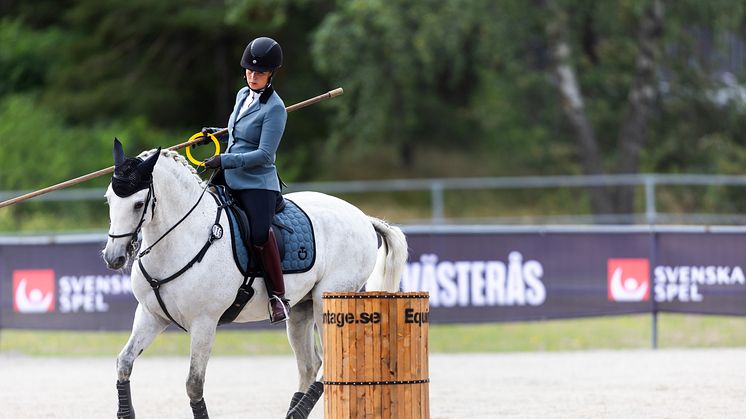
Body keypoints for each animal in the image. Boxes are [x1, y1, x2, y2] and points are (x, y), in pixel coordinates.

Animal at [101, 142, 406, 419]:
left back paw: (296, 413)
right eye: (108, 199)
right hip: (301, 310)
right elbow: (124, 363)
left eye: (138, 203)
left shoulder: (204, 323)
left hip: (327, 302)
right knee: (310, 365)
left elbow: (194, 384)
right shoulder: (151, 316)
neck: (182, 239)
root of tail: (362, 217)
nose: (113, 257)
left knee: (333, 361)